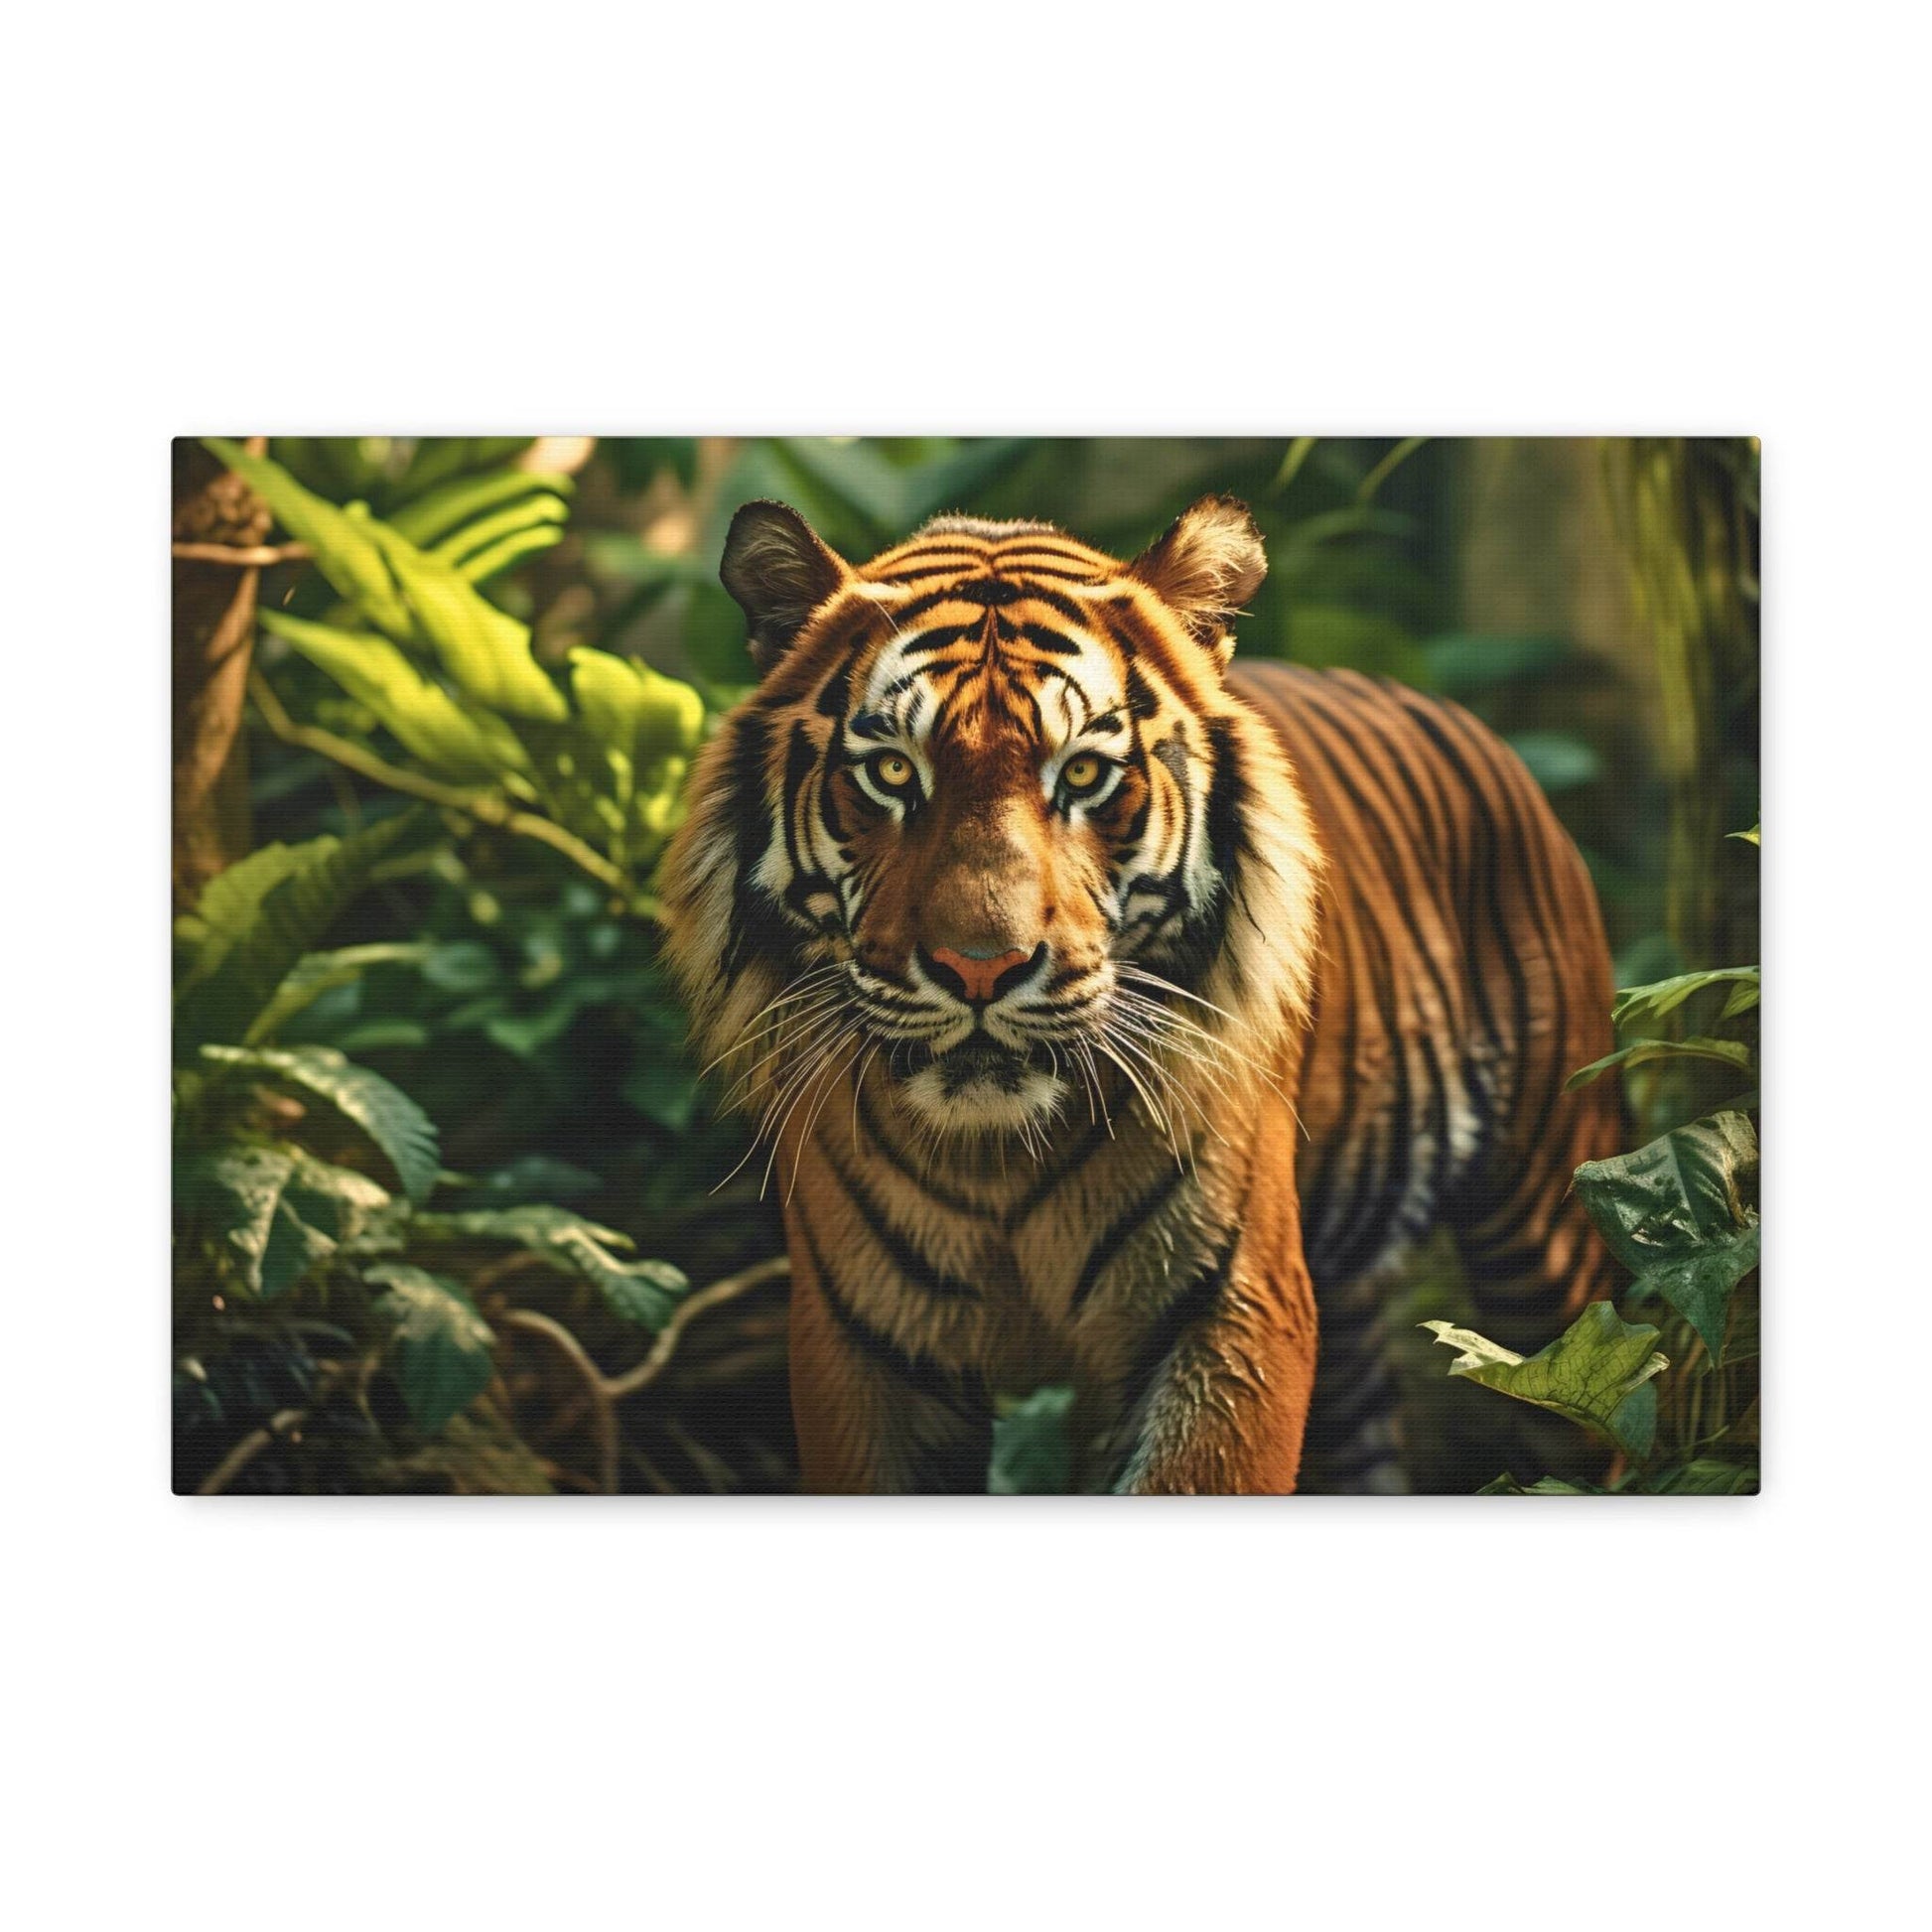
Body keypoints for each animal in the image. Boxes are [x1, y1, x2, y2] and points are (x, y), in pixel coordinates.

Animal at [658, 494, 1623, 1494]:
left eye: (1083, 774)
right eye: (891, 772)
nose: (980, 968)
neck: (997, 1161)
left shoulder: (1230, 1311)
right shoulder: (861, 1346)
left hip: (1553, 1225)